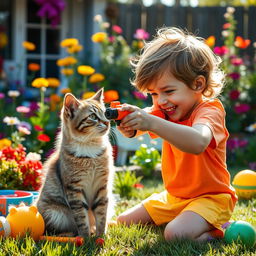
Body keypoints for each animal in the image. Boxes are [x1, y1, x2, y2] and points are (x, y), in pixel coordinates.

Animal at [36, 89, 114, 237]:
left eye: (106, 113)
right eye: (93, 116)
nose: (107, 122)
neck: (90, 150)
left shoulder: (102, 186)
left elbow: (102, 216)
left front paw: (101, 236)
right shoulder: (75, 189)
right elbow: (81, 218)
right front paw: (86, 238)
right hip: (54, 213)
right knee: (55, 230)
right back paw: (69, 235)